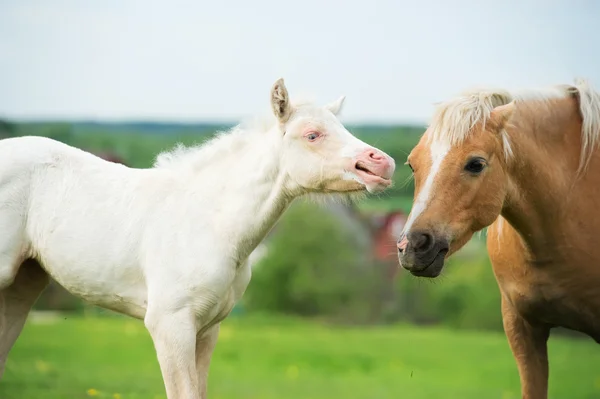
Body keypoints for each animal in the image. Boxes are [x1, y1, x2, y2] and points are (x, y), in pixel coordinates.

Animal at [0, 79, 396, 399]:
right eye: (312, 134)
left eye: (341, 127)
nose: (382, 164)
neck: (210, 222)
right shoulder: (169, 325)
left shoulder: (208, 330)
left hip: (23, 283)